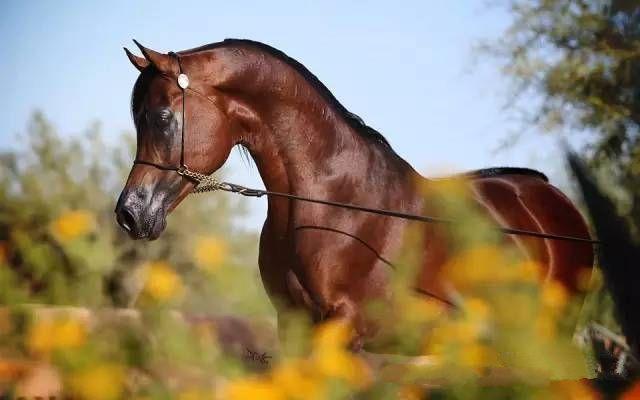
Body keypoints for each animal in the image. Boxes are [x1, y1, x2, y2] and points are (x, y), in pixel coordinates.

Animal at [115, 37, 596, 350]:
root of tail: (549, 196)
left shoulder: (344, 329)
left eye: (161, 117)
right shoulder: (292, 325)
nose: (130, 213)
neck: (332, 203)